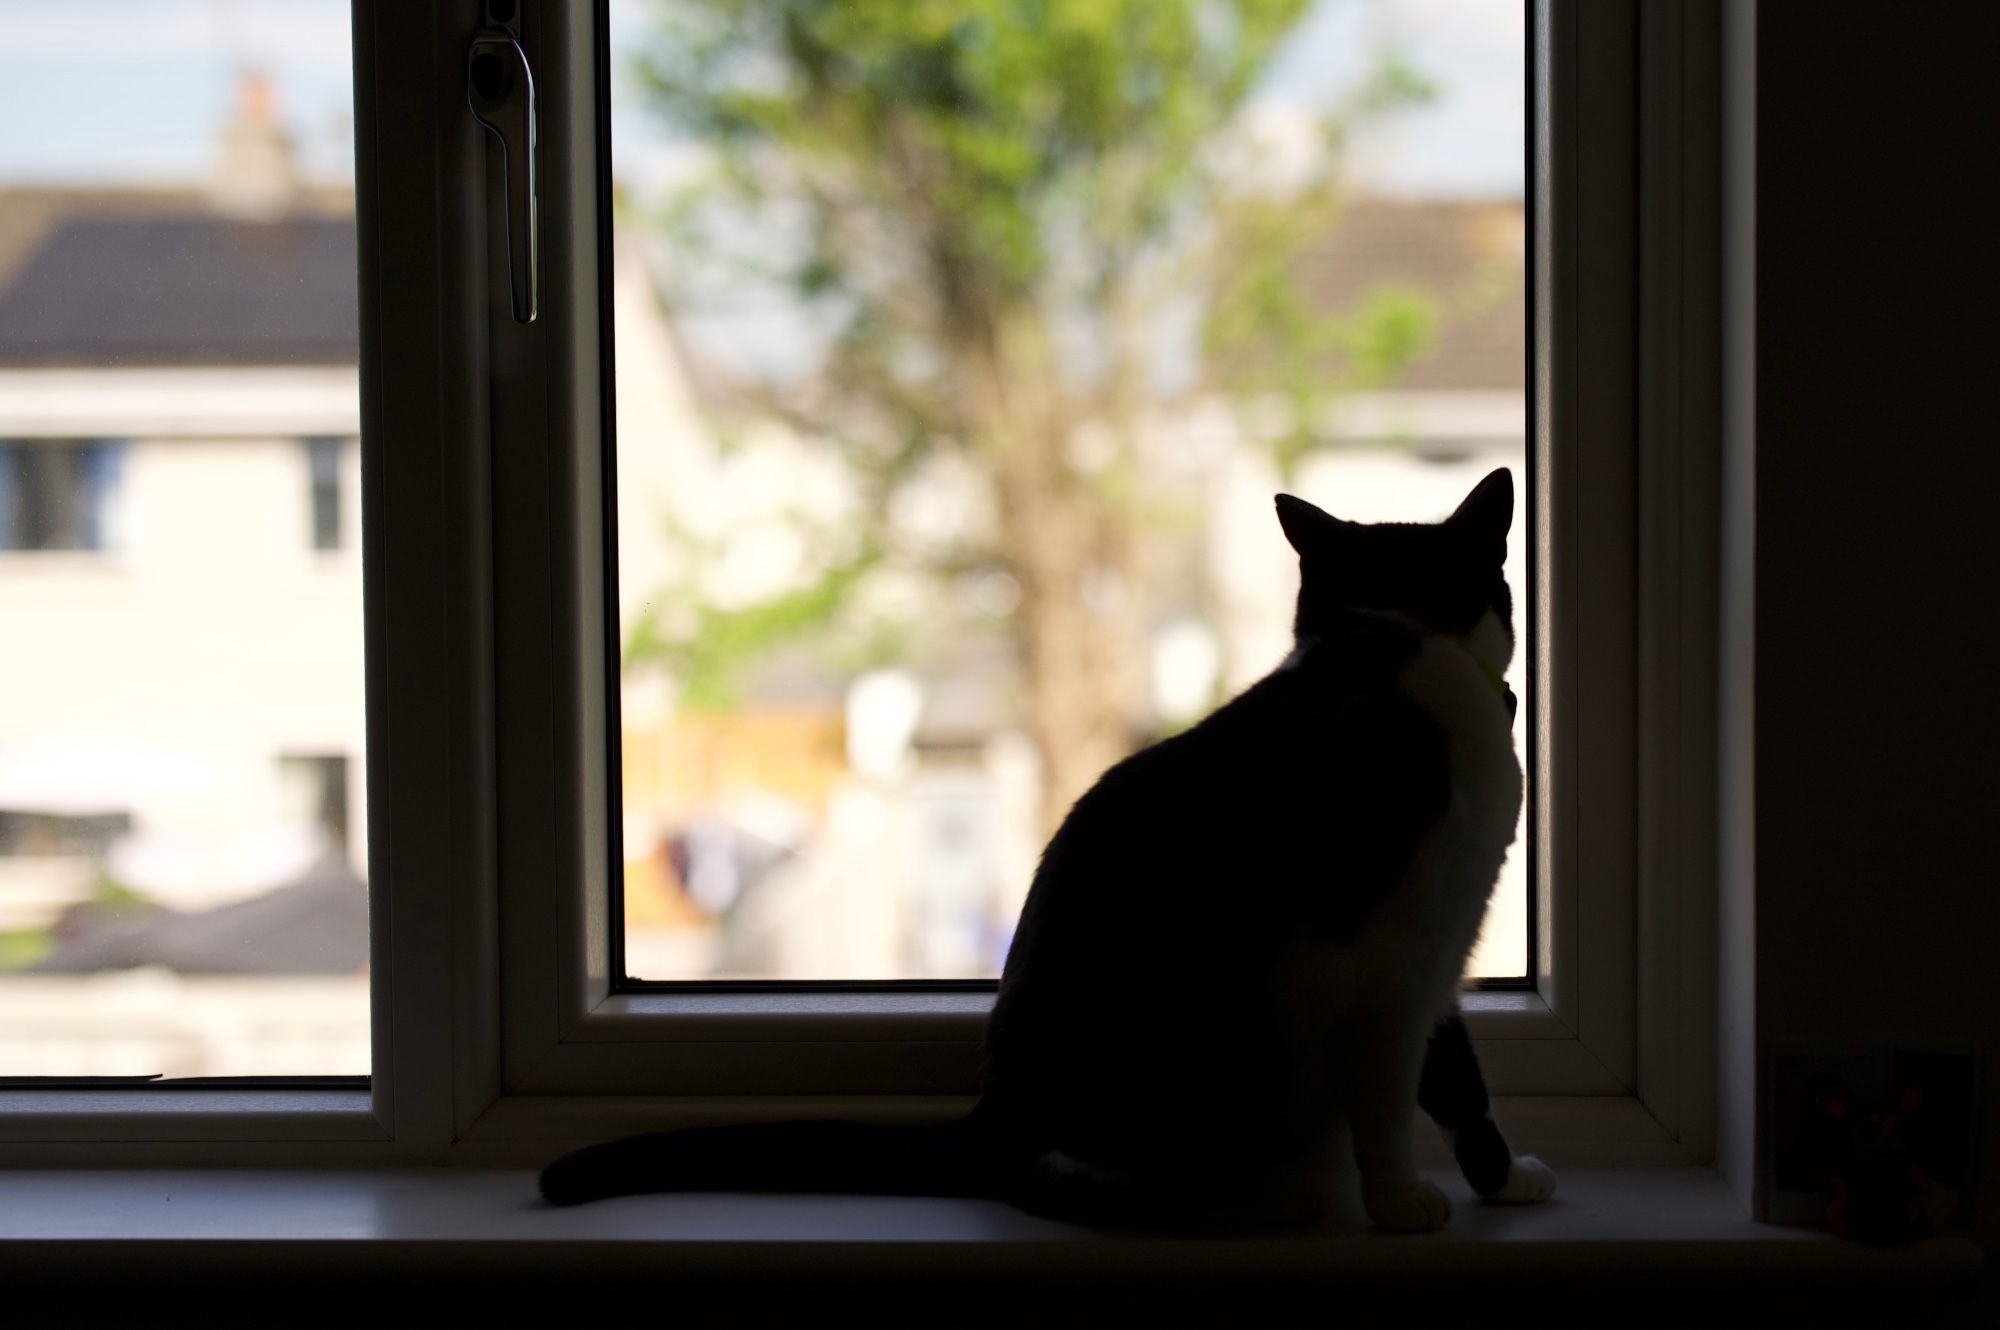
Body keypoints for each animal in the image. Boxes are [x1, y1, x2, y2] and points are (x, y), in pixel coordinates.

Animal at [540, 470, 1552, 1232]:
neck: (1398, 640)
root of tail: (992, 1114)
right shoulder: (1388, 949)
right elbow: (1392, 1087)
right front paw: (1405, 1201)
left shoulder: (1444, 944)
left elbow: (1458, 1078)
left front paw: (1503, 1180)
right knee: (1062, 1177)